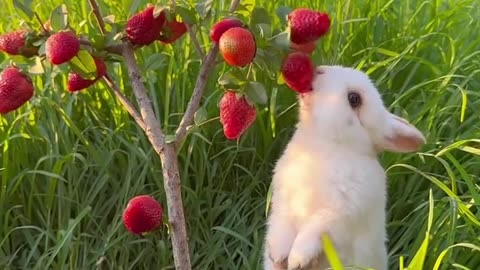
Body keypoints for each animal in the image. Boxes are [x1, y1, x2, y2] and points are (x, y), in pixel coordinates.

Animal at [264, 66, 426, 270]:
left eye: (354, 98)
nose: (319, 70)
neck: (327, 146)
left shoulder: (339, 214)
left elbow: (314, 231)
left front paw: (297, 260)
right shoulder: (284, 202)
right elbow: (282, 227)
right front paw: (277, 256)